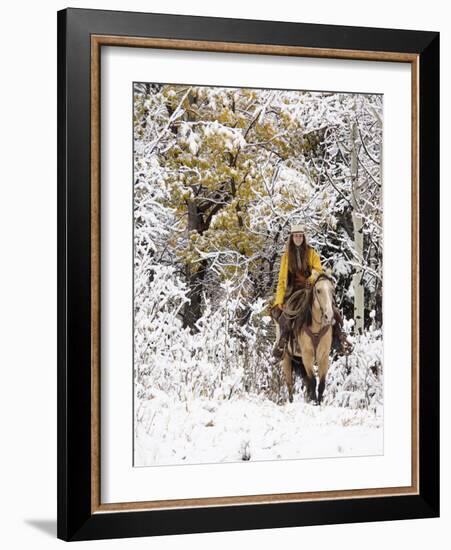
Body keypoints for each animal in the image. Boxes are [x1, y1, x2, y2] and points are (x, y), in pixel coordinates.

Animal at [276, 274, 336, 406]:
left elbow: (321, 383)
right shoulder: (307, 355)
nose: (329, 316)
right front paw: (314, 403)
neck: (316, 327)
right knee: (290, 385)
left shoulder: (323, 356)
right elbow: (313, 381)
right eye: (318, 290)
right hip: (287, 358)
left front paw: (318, 403)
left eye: (332, 290)